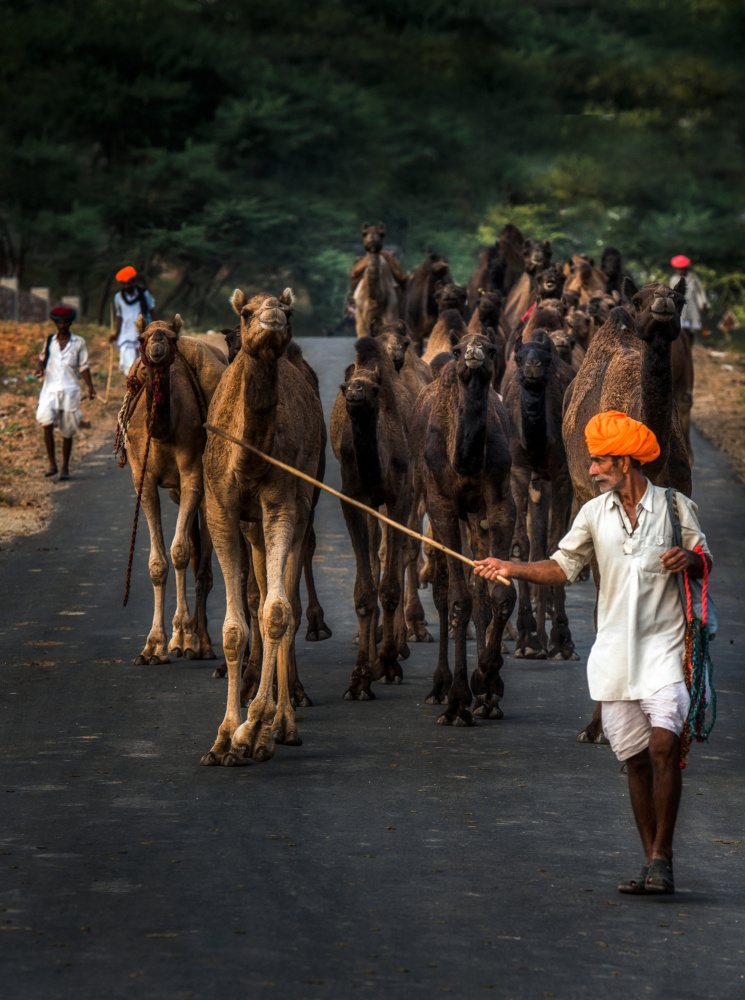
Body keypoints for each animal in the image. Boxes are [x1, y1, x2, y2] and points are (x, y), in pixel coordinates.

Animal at [117, 316, 224, 668]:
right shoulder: (144, 479)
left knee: (202, 562)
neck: (163, 432)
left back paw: (200, 643)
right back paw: (180, 640)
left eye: (173, 339)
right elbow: (158, 563)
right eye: (141, 338)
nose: (157, 349)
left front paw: (185, 639)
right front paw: (154, 647)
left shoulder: (192, 475)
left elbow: (179, 553)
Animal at [201, 290, 326, 764]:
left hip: (303, 508)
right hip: (251, 527)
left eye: (287, 311)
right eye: (245, 312)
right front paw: (223, 737)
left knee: (286, 601)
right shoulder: (220, 509)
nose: (272, 315)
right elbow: (234, 628)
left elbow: (278, 612)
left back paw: (283, 722)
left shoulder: (281, 506)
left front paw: (254, 730)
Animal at [410, 332, 516, 724]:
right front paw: (457, 700)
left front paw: (487, 683)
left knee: (481, 592)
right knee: (444, 593)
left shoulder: (499, 502)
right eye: (457, 350)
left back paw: (484, 696)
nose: (473, 353)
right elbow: (458, 600)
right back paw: (439, 688)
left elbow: (499, 595)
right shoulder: (441, 505)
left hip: (474, 517)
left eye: (492, 349)